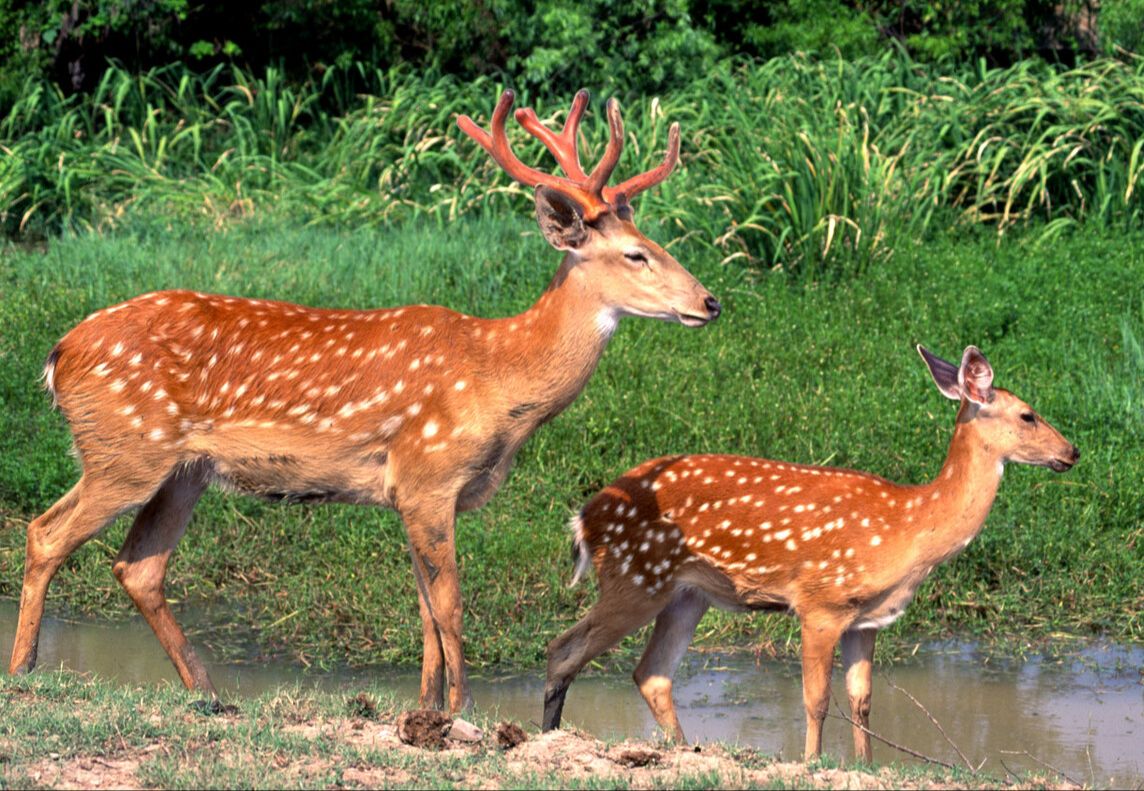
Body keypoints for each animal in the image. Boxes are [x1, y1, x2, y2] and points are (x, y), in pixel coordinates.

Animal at [8, 89, 718, 714]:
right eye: (636, 254)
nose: (709, 302)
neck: (498, 381)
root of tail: (59, 354)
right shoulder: (429, 473)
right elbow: (451, 604)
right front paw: (464, 711)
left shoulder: (410, 490)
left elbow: (425, 609)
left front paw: (427, 706)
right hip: (124, 448)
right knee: (46, 532)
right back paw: (24, 670)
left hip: (184, 470)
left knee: (139, 567)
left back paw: (207, 692)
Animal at [544, 345, 1079, 760]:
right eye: (1028, 414)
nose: (1071, 452)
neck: (909, 529)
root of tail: (583, 518)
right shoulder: (821, 602)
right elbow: (816, 699)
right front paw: (812, 763)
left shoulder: (866, 619)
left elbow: (862, 700)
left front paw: (866, 766)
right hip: (636, 576)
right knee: (564, 647)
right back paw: (547, 739)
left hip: (686, 594)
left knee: (651, 673)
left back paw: (681, 749)